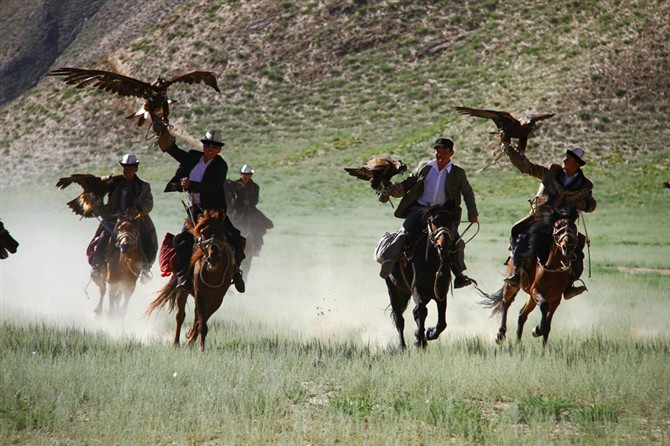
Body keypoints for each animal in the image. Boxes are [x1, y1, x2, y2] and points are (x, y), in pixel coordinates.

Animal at [146, 209, 235, 352]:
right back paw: (176, 344)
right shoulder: (199, 294)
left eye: (221, 233)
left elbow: (202, 319)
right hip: (183, 291)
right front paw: (200, 348)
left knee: (195, 316)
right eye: (203, 233)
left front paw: (191, 339)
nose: (213, 258)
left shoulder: (217, 299)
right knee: (180, 316)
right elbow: (201, 322)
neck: (213, 273)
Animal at [384, 205, 462, 348]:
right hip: (393, 289)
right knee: (399, 318)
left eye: (451, 222)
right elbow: (421, 311)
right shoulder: (417, 289)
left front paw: (429, 334)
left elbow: (442, 322)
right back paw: (403, 346)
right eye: (433, 222)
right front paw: (419, 337)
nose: (443, 246)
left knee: (414, 313)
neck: (432, 263)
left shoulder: (440, 293)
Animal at [480, 207, 580, 346]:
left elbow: (548, 324)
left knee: (522, 315)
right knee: (506, 302)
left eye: (574, 227)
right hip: (512, 285)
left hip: (531, 298)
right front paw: (537, 330)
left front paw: (544, 346)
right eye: (557, 226)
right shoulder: (535, 291)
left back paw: (518, 342)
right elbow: (543, 307)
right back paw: (500, 334)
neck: (554, 270)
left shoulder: (555, 299)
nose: (567, 246)